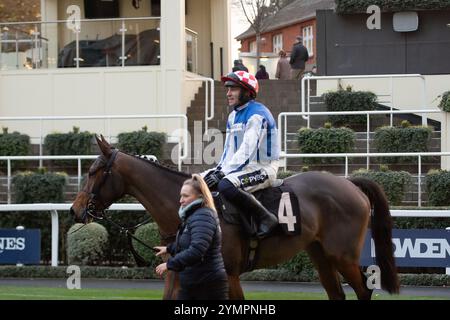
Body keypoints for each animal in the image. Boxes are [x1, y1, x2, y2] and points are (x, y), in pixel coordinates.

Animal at [68, 137, 400, 300]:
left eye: (94, 171)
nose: (75, 209)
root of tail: (350, 183)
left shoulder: (229, 275)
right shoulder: (179, 274)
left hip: (343, 255)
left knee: (363, 290)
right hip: (319, 254)